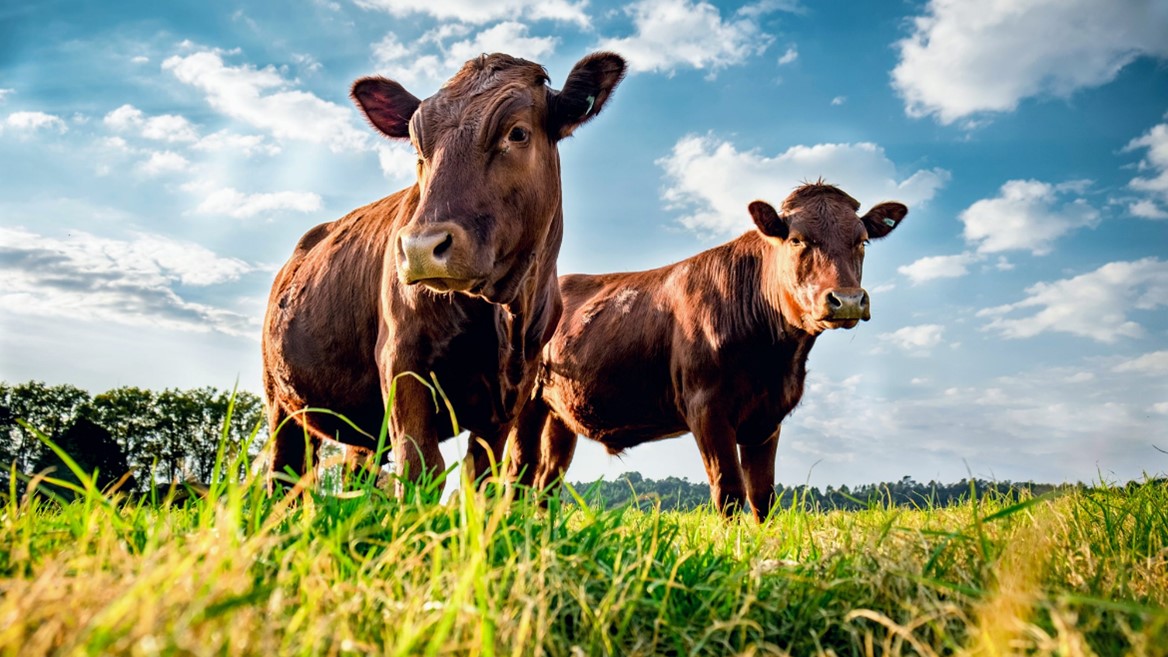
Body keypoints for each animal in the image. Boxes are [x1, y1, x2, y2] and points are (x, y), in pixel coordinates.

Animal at [262, 52, 627, 495]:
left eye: (518, 133)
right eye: (419, 147)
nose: (420, 248)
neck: (505, 313)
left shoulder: (514, 391)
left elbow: (482, 476)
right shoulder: (400, 359)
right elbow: (421, 466)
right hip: (281, 400)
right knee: (284, 473)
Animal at [510, 183, 907, 521]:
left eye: (862, 241)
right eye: (797, 239)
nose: (848, 300)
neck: (776, 361)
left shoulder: (768, 416)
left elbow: (762, 496)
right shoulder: (706, 407)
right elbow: (728, 490)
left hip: (560, 413)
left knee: (548, 479)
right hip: (526, 402)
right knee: (520, 472)